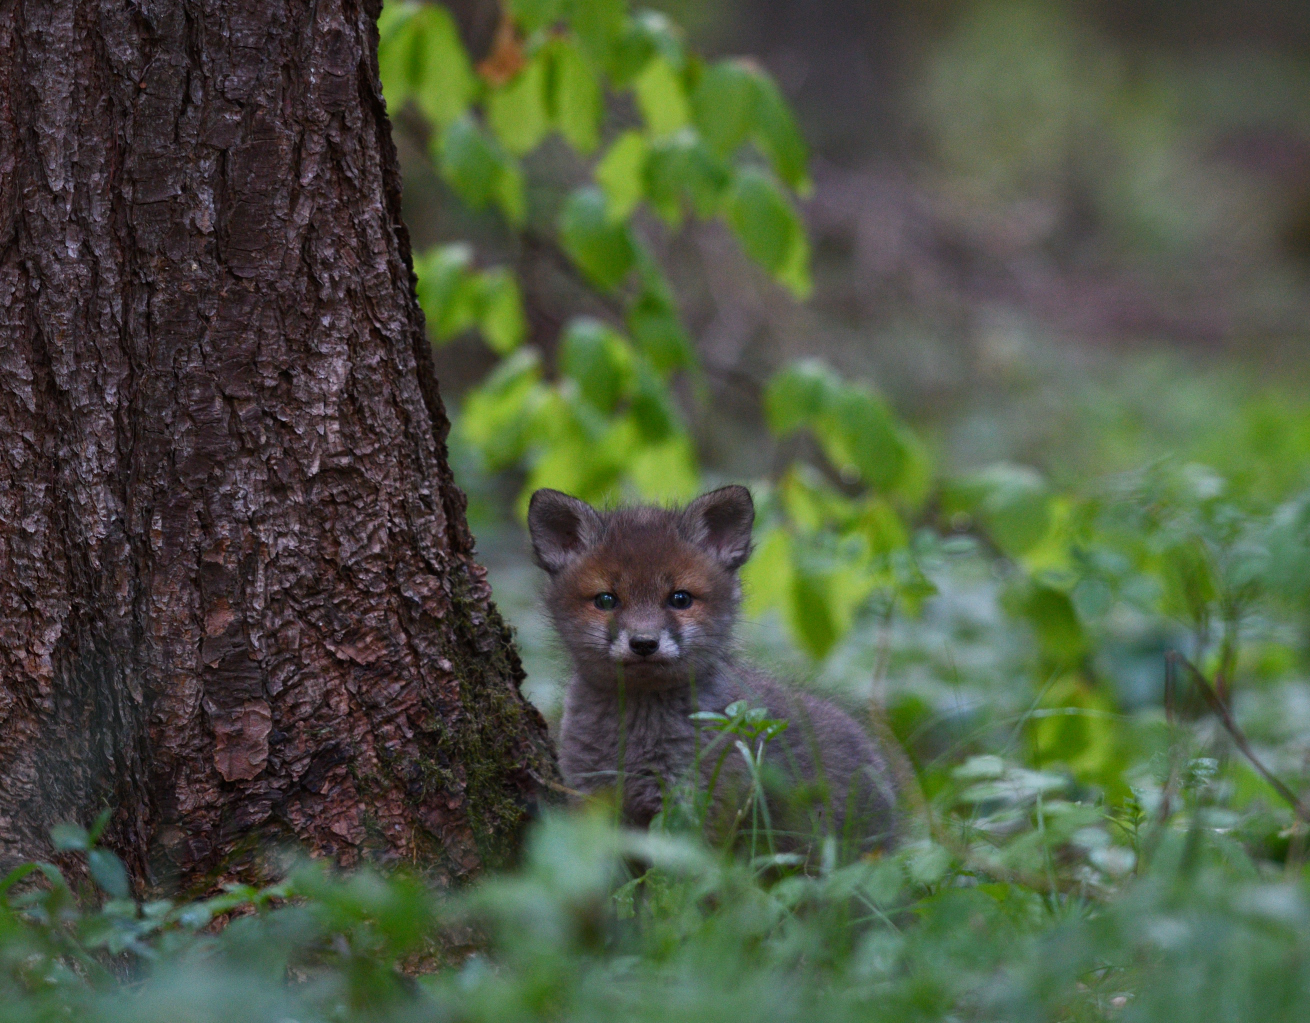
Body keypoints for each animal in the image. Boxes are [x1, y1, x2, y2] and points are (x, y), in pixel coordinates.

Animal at [521, 487, 901, 854]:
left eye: (680, 599)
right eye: (605, 600)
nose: (644, 643)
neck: (641, 740)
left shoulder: (701, 807)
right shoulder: (592, 799)